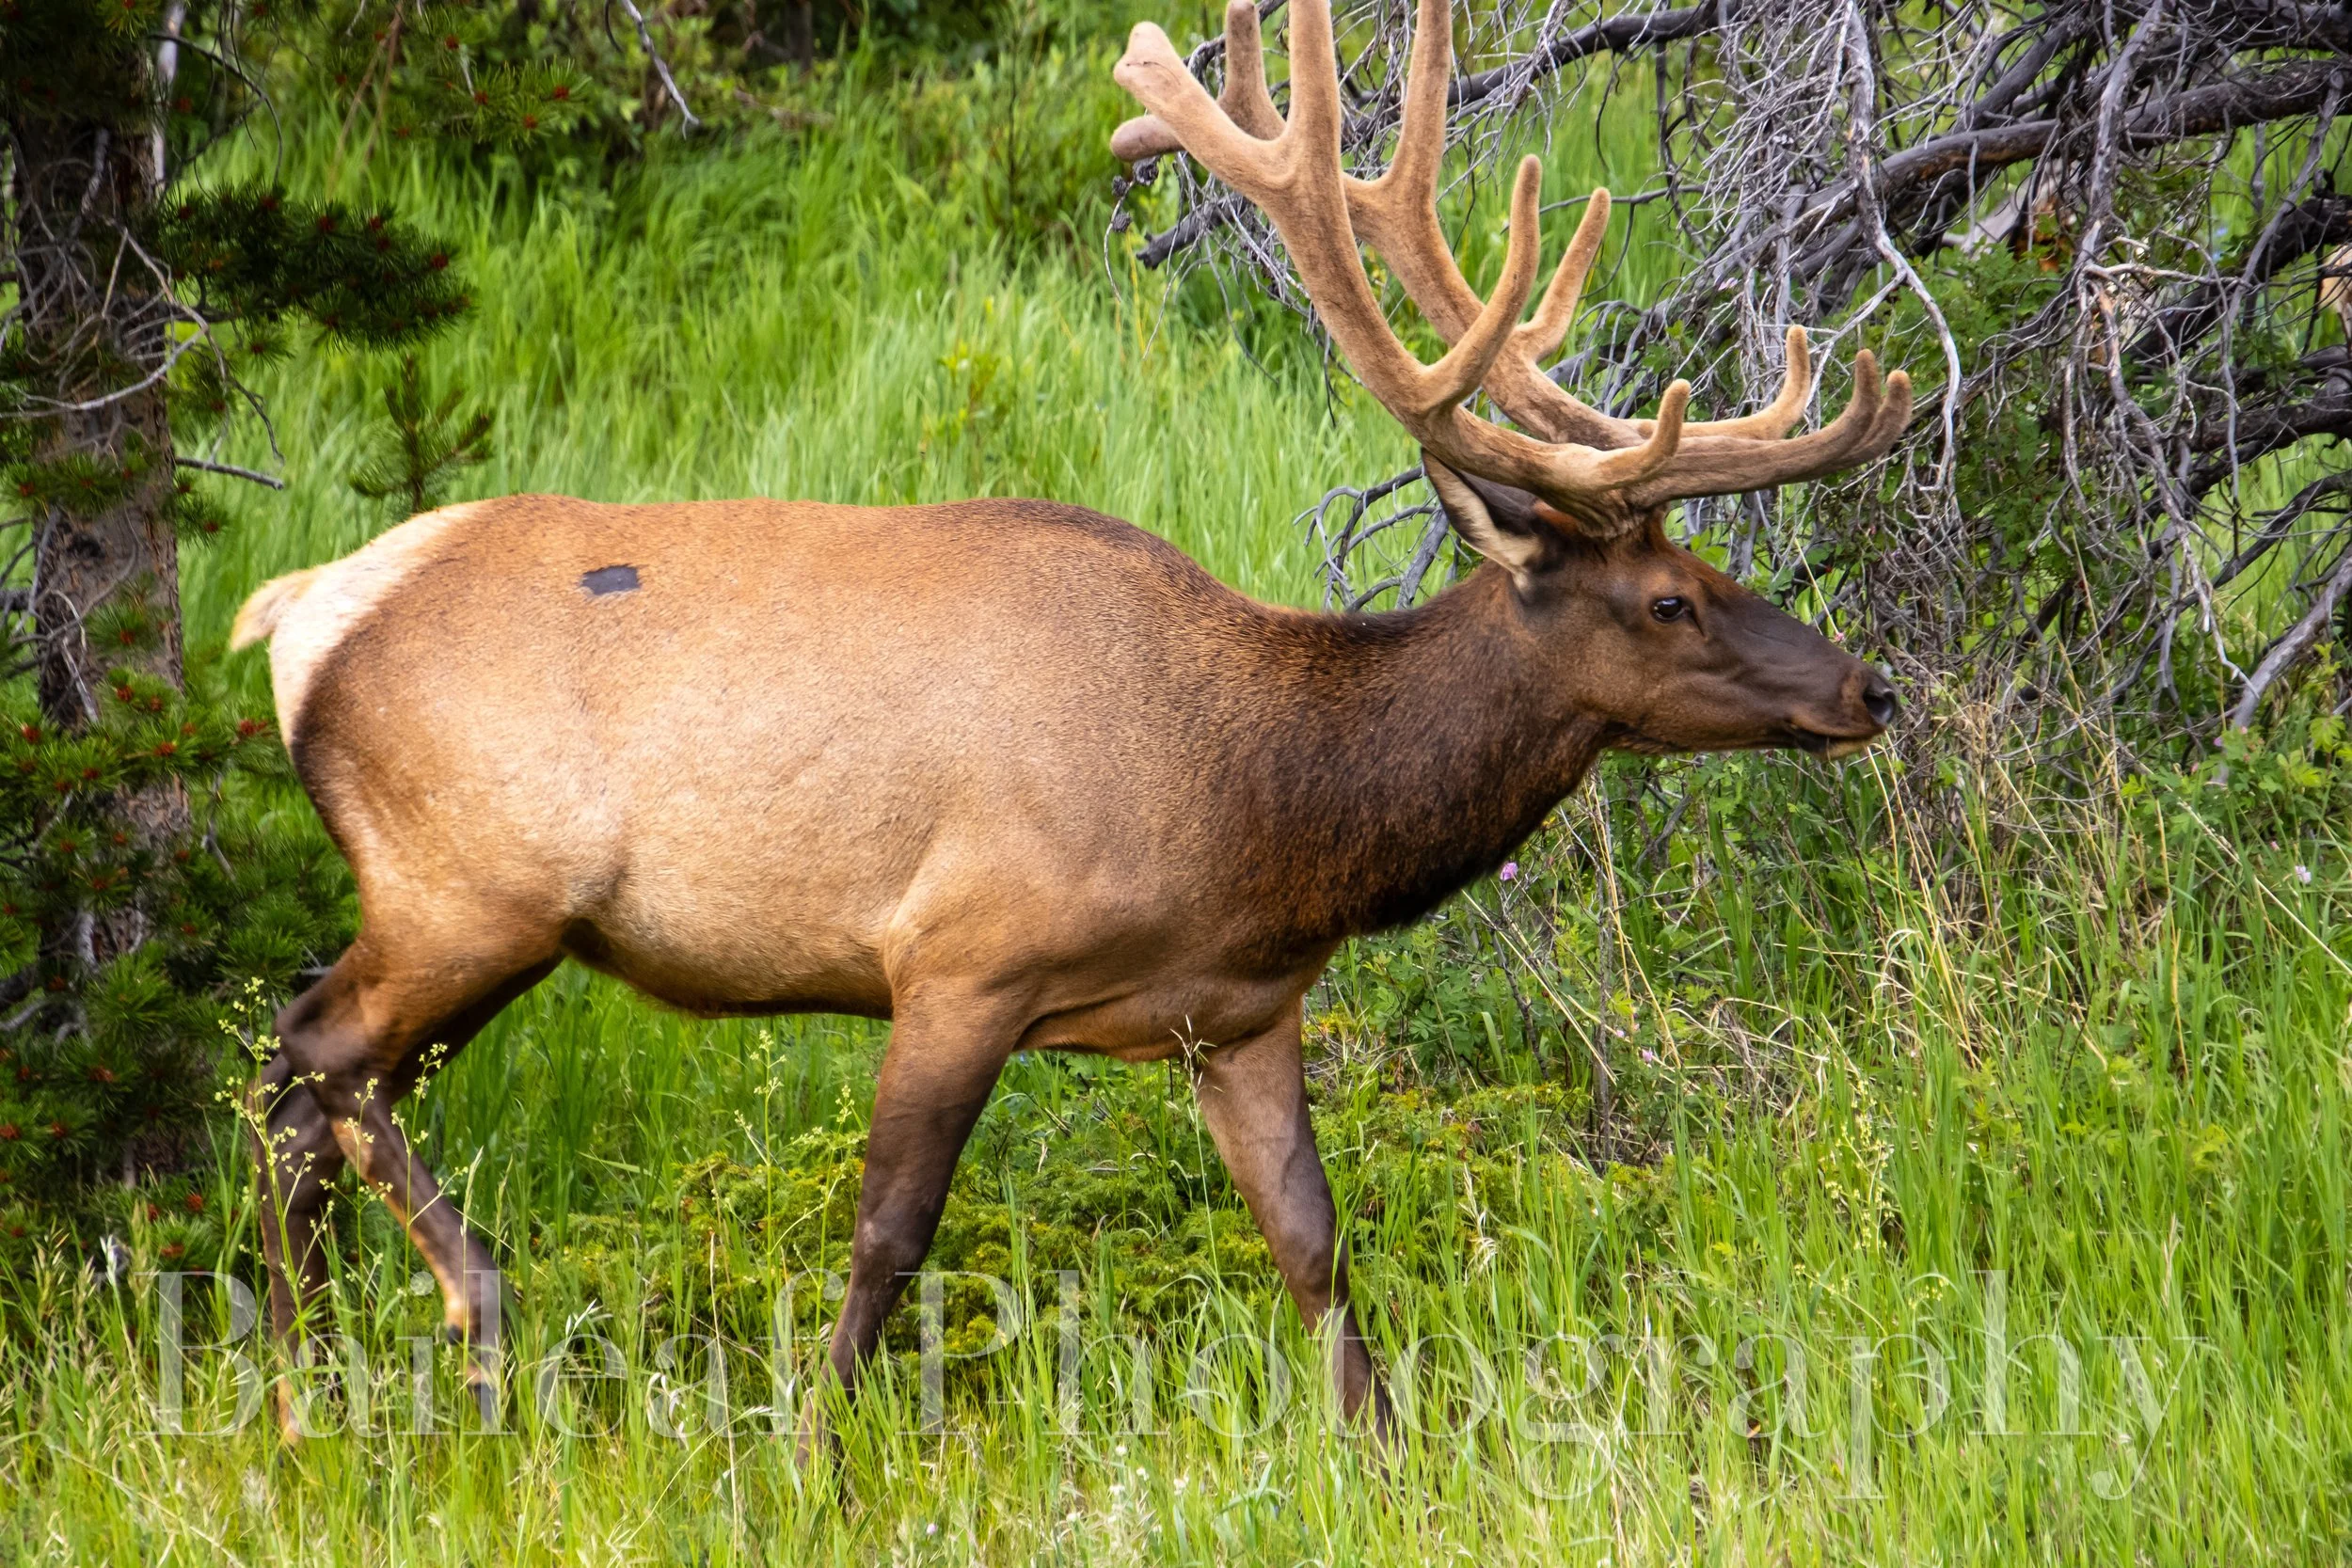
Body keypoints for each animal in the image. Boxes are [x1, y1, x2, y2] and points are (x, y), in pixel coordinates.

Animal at [228, 0, 1909, 1453]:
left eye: (1720, 571)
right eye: (1669, 598)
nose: (1866, 688)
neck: (1266, 811)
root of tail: (298, 611)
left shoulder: (1241, 1009)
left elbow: (1313, 1240)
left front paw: (1387, 1450)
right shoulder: (960, 954)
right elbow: (890, 1231)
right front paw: (814, 1452)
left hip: (483, 915)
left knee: (298, 1096)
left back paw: (311, 1405)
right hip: (474, 880)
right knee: (309, 1050)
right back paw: (470, 1318)